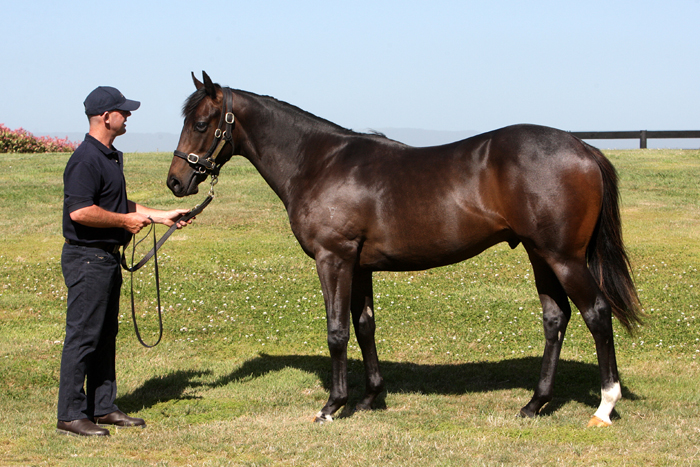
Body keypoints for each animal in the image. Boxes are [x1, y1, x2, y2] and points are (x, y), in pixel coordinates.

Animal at [167, 71, 641, 427]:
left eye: (202, 123)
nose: (175, 181)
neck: (319, 162)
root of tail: (583, 147)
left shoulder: (333, 259)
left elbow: (337, 331)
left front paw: (332, 406)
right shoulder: (359, 265)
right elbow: (365, 327)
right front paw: (369, 398)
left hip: (564, 258)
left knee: (596, 314)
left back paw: (604, 406)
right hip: (539, 254)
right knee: (555, 318)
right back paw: (534, 403)